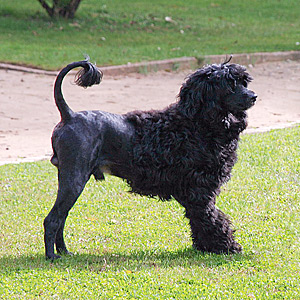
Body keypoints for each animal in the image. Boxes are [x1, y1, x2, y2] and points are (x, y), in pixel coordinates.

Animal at [43, 57, 256, 258]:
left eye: (243, 82)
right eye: (229, 84)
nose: (254, 96)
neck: (196, 123)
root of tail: (69, 115)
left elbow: (200, 220)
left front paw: (205, 246)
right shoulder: (200, 192)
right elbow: (212, 219)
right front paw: (227, 246)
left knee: (61, 218)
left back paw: (64, 252)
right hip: (74, 179)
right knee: (52, 220)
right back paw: (52, 256)